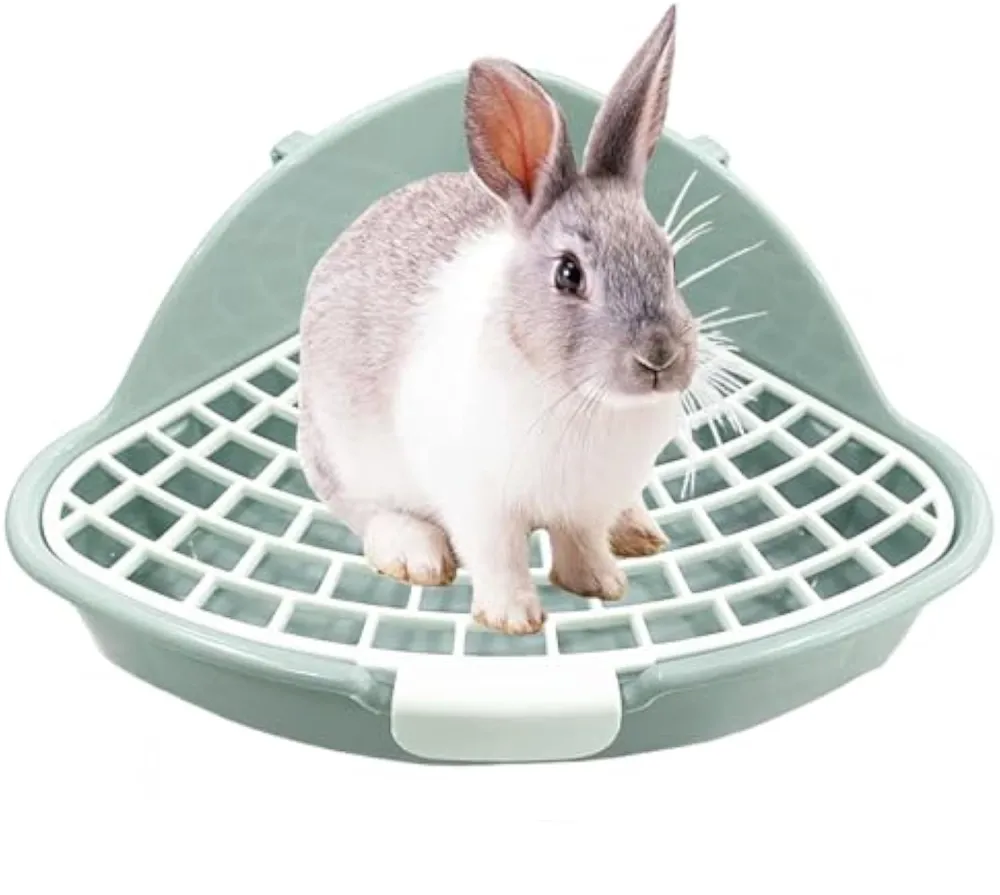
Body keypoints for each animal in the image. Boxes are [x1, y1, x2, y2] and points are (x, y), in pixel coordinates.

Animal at [298, 4, 697, 635]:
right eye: (568, 274)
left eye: (670, 260)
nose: (659, 357)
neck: (579, 398)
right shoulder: (480, 504)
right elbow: (499, 557)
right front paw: (512, 619)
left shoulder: (586, 504)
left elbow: (581, 543)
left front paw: (602, 585)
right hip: (343, 457)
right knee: (367, 513)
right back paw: (415, 554)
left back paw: (638, 531)